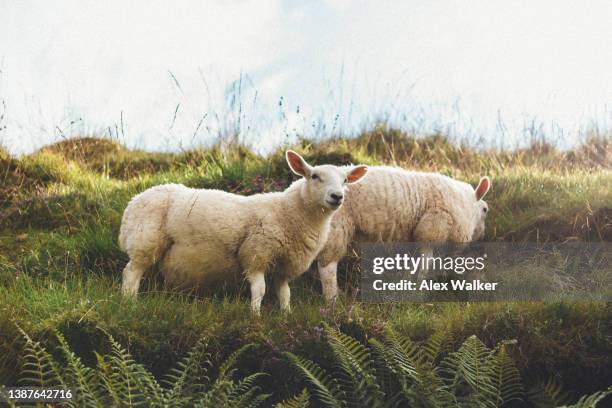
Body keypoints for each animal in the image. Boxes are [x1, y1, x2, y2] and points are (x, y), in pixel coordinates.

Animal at [119, 151, 368, 314]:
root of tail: (132, 203)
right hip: (145, 240)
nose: (337, 196)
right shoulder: (255, 254)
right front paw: (255, 316)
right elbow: (259, 290)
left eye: (345, 180)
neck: (289, 212)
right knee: (131, 272)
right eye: (315, 176)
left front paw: (286, 316)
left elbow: (284, 294)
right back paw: (129, 303)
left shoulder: (284, 266)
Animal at [316, 166, 492, 302]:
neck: (465, 204)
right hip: (336, 225)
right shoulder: (432, 229)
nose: (483, 236)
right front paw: (421, 288)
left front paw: (407, 285)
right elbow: (426, 262)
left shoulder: (412, 238)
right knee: (327, 266)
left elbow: (411, 266)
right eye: (485, 210)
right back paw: (332, 300)